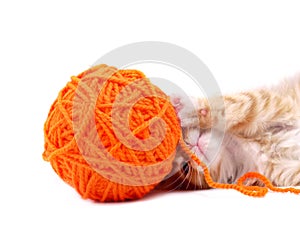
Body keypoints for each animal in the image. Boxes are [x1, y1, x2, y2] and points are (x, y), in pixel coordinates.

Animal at [156, 75, 300, 190]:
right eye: (185, 167)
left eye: (182, 132)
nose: (190, 145)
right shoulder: (284, 171)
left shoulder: (268, 103)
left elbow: (232, 106)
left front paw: (183, 107)